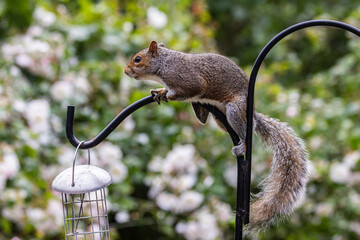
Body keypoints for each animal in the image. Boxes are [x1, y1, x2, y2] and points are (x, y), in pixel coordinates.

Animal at [124, 41, 310, 236]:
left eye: (138, 59)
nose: (125, 71)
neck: (165, 64)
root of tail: (252, 114)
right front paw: (161, 91)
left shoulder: (189, 80)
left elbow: (191, 90)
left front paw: (167, 94)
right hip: (220, 118)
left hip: (235, 110)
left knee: (246, 132)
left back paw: (243, 145)